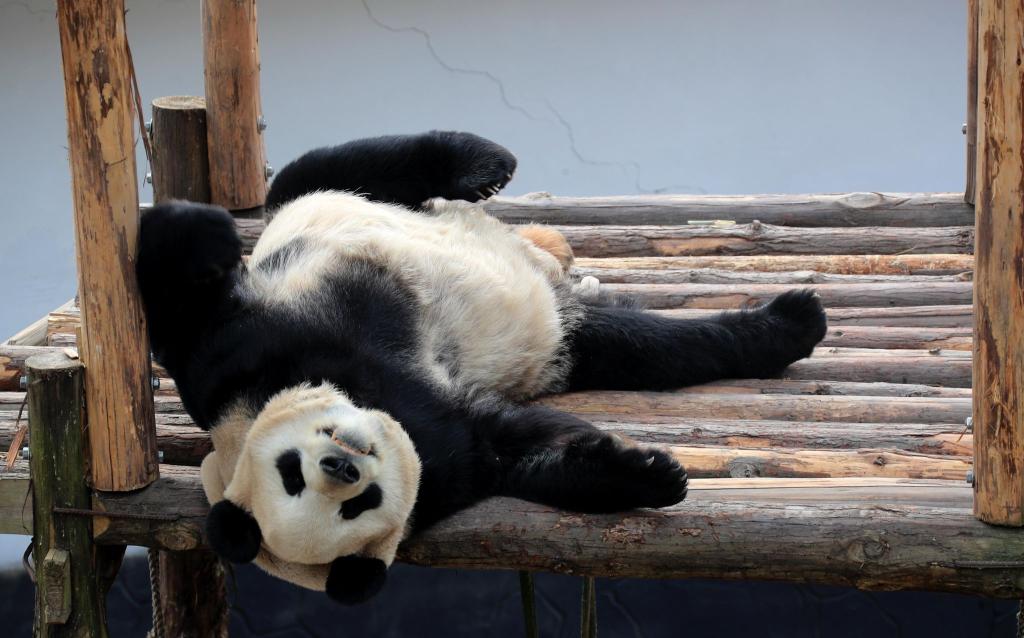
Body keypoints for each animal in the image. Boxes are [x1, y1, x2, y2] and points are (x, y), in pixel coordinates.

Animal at [136, 130, 827, 602]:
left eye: (290, 470)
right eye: (351, 510)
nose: (344, 463)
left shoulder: (240, 350)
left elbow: (178, 306)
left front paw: (190, 229)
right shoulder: (438, 463)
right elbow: (505, 447)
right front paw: (638, 473)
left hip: (331, 214)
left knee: (334, 170)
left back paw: (479, 164)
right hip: (564, 343)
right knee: (646, 346)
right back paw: (786, 326)